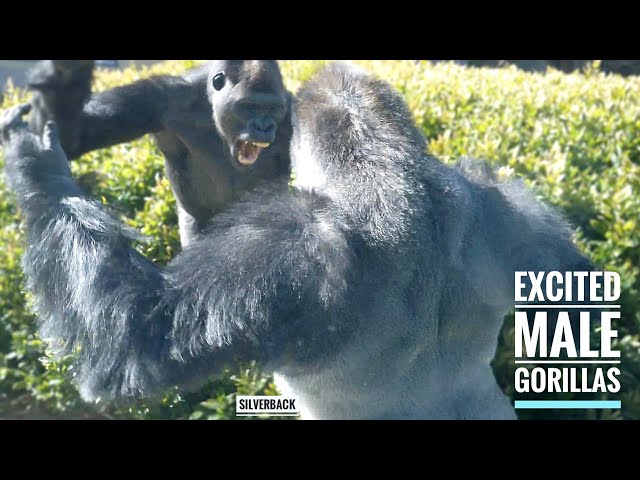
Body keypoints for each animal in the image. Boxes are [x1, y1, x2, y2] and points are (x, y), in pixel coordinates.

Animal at [26, 60, 292, 246]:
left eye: (273, 109)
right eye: (249, 107)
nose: (265, 127)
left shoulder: (290, 113)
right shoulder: (162, 96)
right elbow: (75, 136)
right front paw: (65, 71)